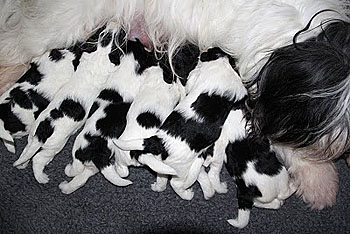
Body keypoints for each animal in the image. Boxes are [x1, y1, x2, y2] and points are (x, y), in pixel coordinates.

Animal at [12, 24, 121, 184]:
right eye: (114, 38)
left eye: (102, 32)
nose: (114, 24)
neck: (98, 56)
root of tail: (42, 130)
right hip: (54, 145)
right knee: (38, 158)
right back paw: (42, 177)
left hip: (32, 136)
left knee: (27, 151)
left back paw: (22, 163)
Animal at [115, 47, 246, 199]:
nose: (202, 52)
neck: (220, 63)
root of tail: (158, 143)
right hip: (180, 169)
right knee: (177, 183)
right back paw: (188, 194)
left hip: (159, 164)